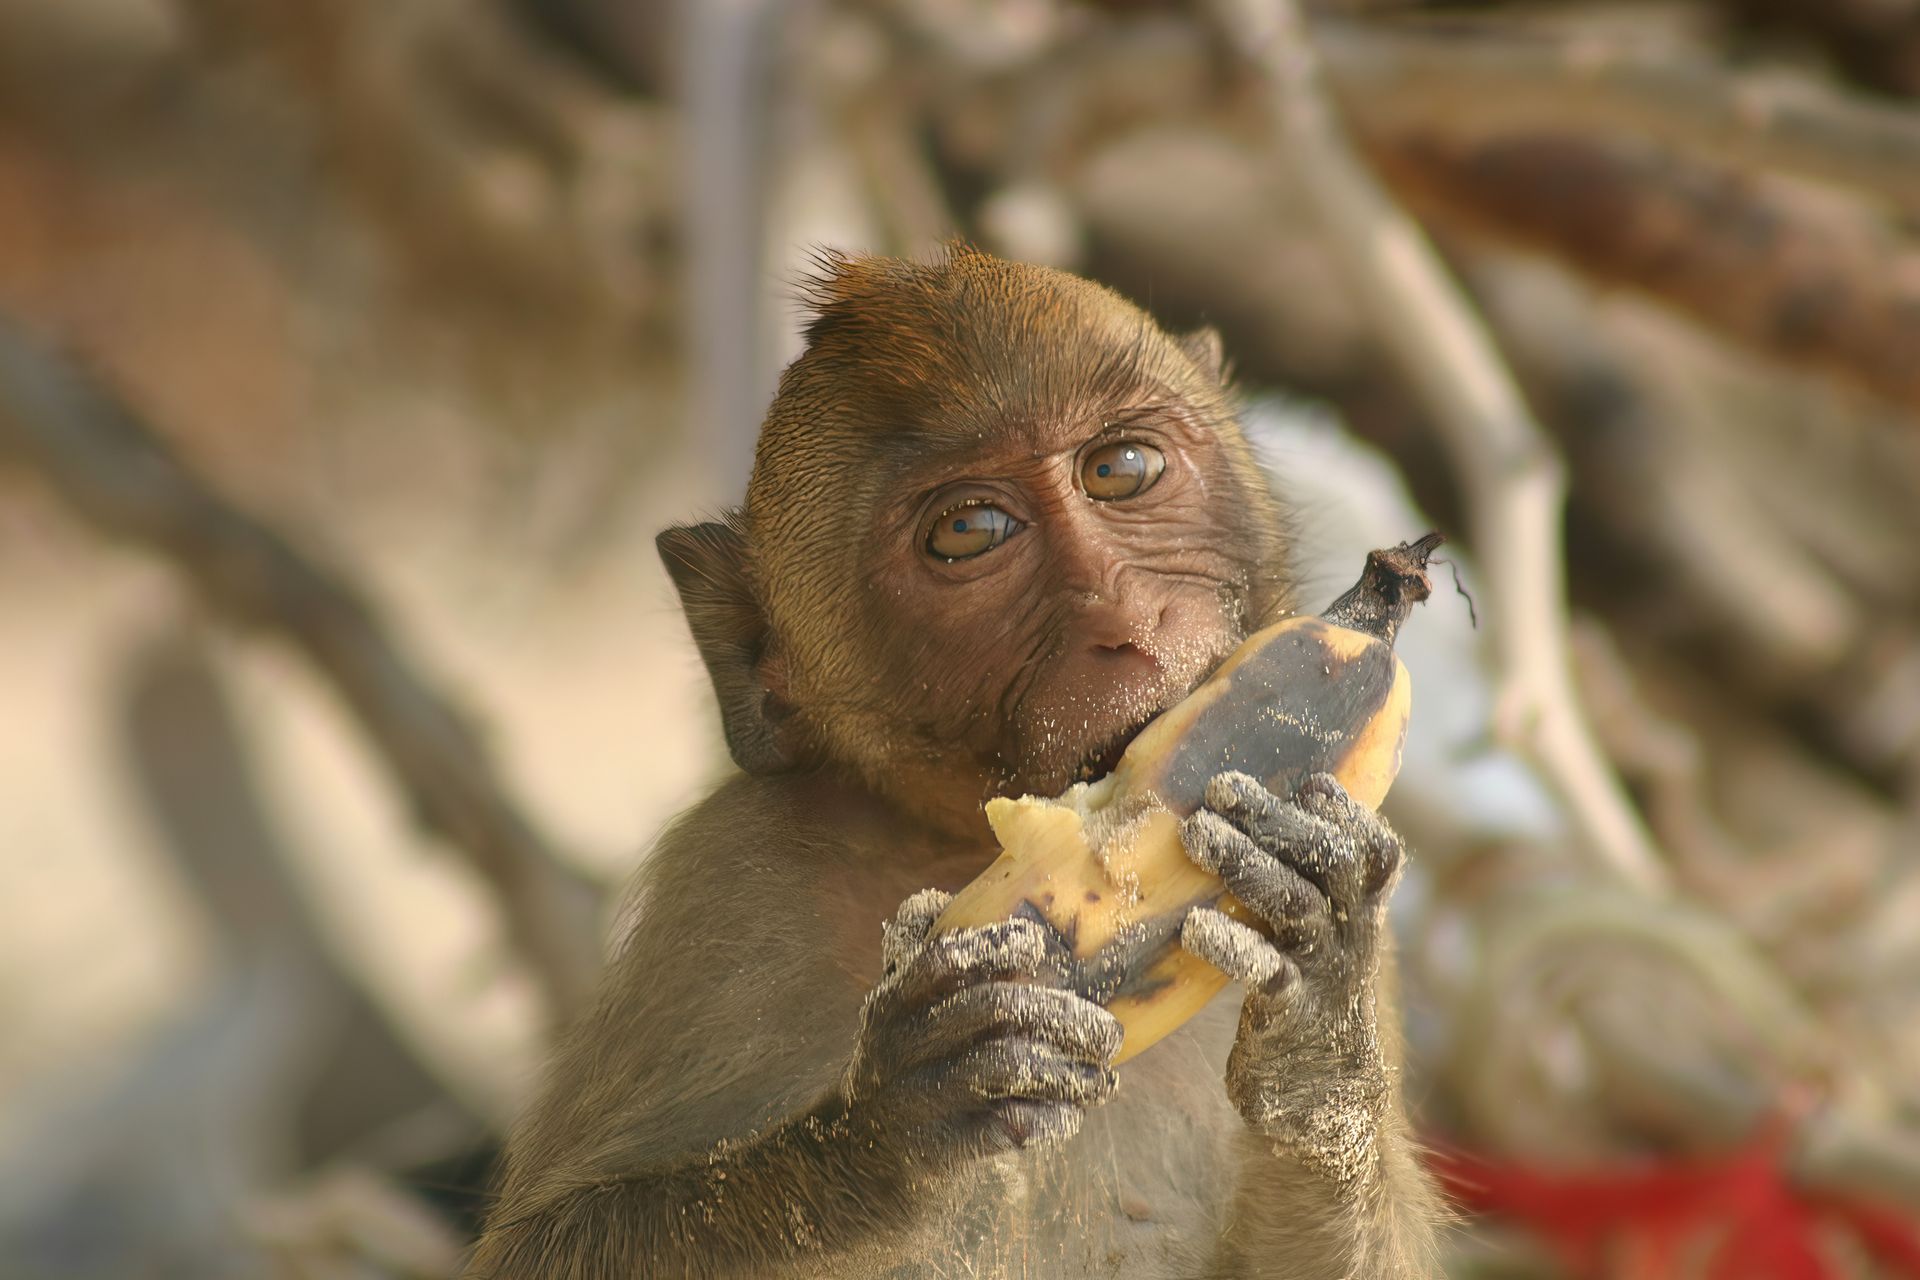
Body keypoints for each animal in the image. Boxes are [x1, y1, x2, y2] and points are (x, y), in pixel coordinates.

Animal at [464, 246, 1443, 1279]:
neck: (955, 844)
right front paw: (890, 1131)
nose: (1124, 620)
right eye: (972, 531)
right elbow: (553, 1239)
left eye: (1121, 469)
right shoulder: (730, 884)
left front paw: (1321, 1006)